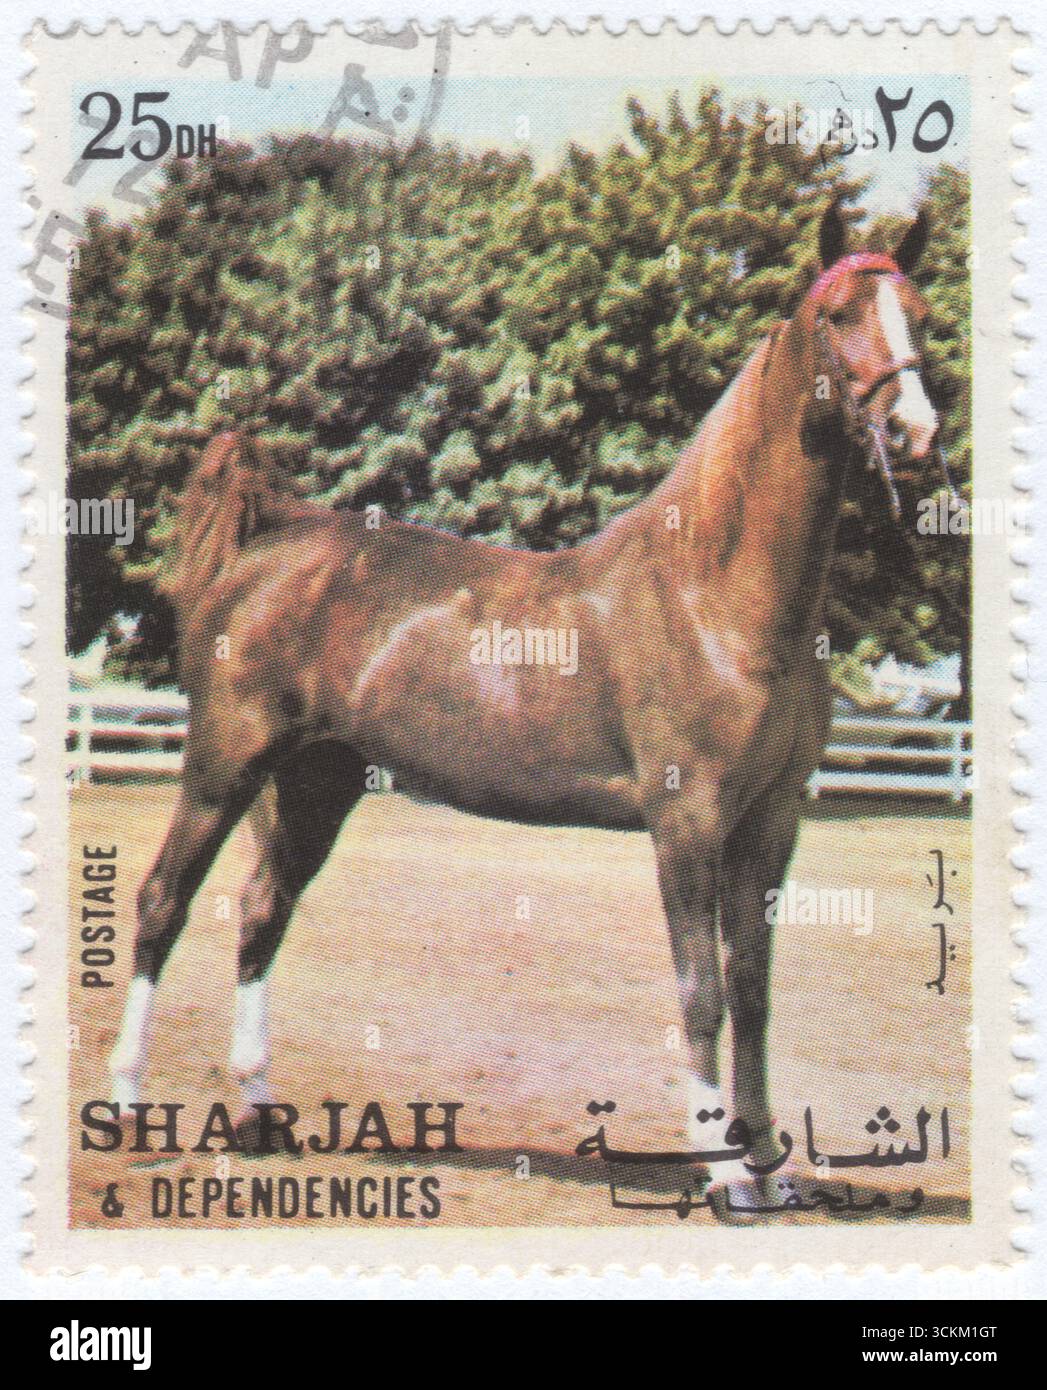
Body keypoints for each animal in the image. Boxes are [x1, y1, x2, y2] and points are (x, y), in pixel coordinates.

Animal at [108, 202, 945, 1208]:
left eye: (919, 312)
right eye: (836, 315)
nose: (914, 431)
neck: (717, 595)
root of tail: (271, 541)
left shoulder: (770, 820)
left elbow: (751, 990)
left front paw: (769, 1165)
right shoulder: (688, 820)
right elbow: (699, 991)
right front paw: (719, 1166)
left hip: (318, 780)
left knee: (263, 911)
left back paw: (259, 1111)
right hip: (224, 762)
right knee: (163, 901)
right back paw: (127, 1109)